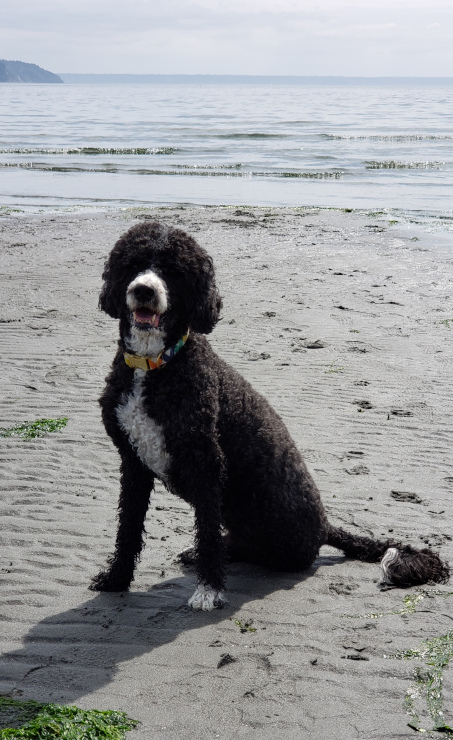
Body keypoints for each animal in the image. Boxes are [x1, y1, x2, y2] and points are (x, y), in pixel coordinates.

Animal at [90, 221, 446, 612]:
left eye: (173, 270)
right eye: (134, 264)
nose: (143, 290)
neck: (153, 366)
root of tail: (326, 527)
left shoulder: (206, 465)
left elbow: (206, 534)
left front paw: (208, 590)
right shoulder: (133, 462)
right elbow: (128, 527)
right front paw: (116, 579)